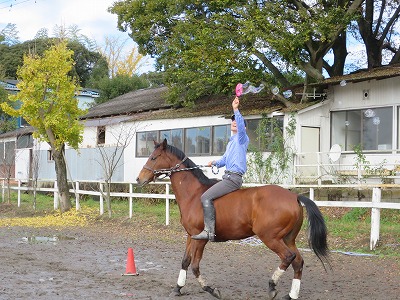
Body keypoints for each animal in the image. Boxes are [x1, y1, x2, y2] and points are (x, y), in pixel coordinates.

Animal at [136, 139, 330, 298]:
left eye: (154, 157)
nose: (139, 179)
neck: (193, 194)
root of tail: (294, 196)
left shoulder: (200, 239)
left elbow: (195, 265)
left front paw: (211, 289)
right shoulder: (191, 235)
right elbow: (185, 261)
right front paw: (177, 288)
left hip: (271, 237)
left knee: (288, 257)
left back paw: (272, 286)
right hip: (288, 238)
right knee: (298, 262)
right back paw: (290, 295)